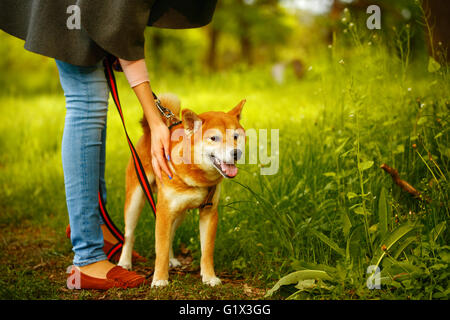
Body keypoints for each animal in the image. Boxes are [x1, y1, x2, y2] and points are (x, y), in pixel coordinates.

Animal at [118, 94, 244, 288]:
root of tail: (149, 132)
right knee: (129, 235)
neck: (198, 178)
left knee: (169, 237)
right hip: (136, 200)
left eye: (236, 136)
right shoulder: (164, 212)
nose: (236, 152)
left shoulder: (209, 213)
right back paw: (124, 262)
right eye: (214, 138)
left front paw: (209, 277)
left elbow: (206, 251)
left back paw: (171, 260)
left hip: (179, 214)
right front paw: (160, 279)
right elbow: (160, 250)